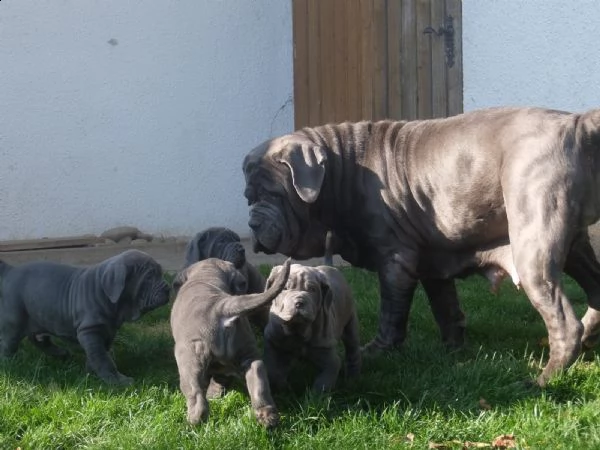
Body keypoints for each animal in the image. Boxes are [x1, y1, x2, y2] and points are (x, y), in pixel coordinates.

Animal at [0, 248, 171, 384]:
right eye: (149, 277)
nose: (168, 288)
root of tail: (11, 271)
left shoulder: (107, 331)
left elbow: (98, 354)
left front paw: (91, 373)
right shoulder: (90, 331)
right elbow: (103, 358)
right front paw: (117, 381)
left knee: (38, 339)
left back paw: (61, 354)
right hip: (14, 320)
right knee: (9, 343)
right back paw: (9, 363)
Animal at [170, 256, 292, 426]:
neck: (206, 277)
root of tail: (220, 307)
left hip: (189, 359)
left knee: (196, 396)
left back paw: (192, 422)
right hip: (249, 353)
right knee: (258, 382)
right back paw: (268, 418)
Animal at [264, 264, 360, 394]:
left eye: (312, 290)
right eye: (284, 288)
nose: (299, 303)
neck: (298, 330)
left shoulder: (327, 354)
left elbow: (323, 382)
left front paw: (315, 397)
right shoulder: (273, 341)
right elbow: (273, 372)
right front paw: (283, 388)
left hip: (350, 319)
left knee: (352, 345)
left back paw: (352, 380)